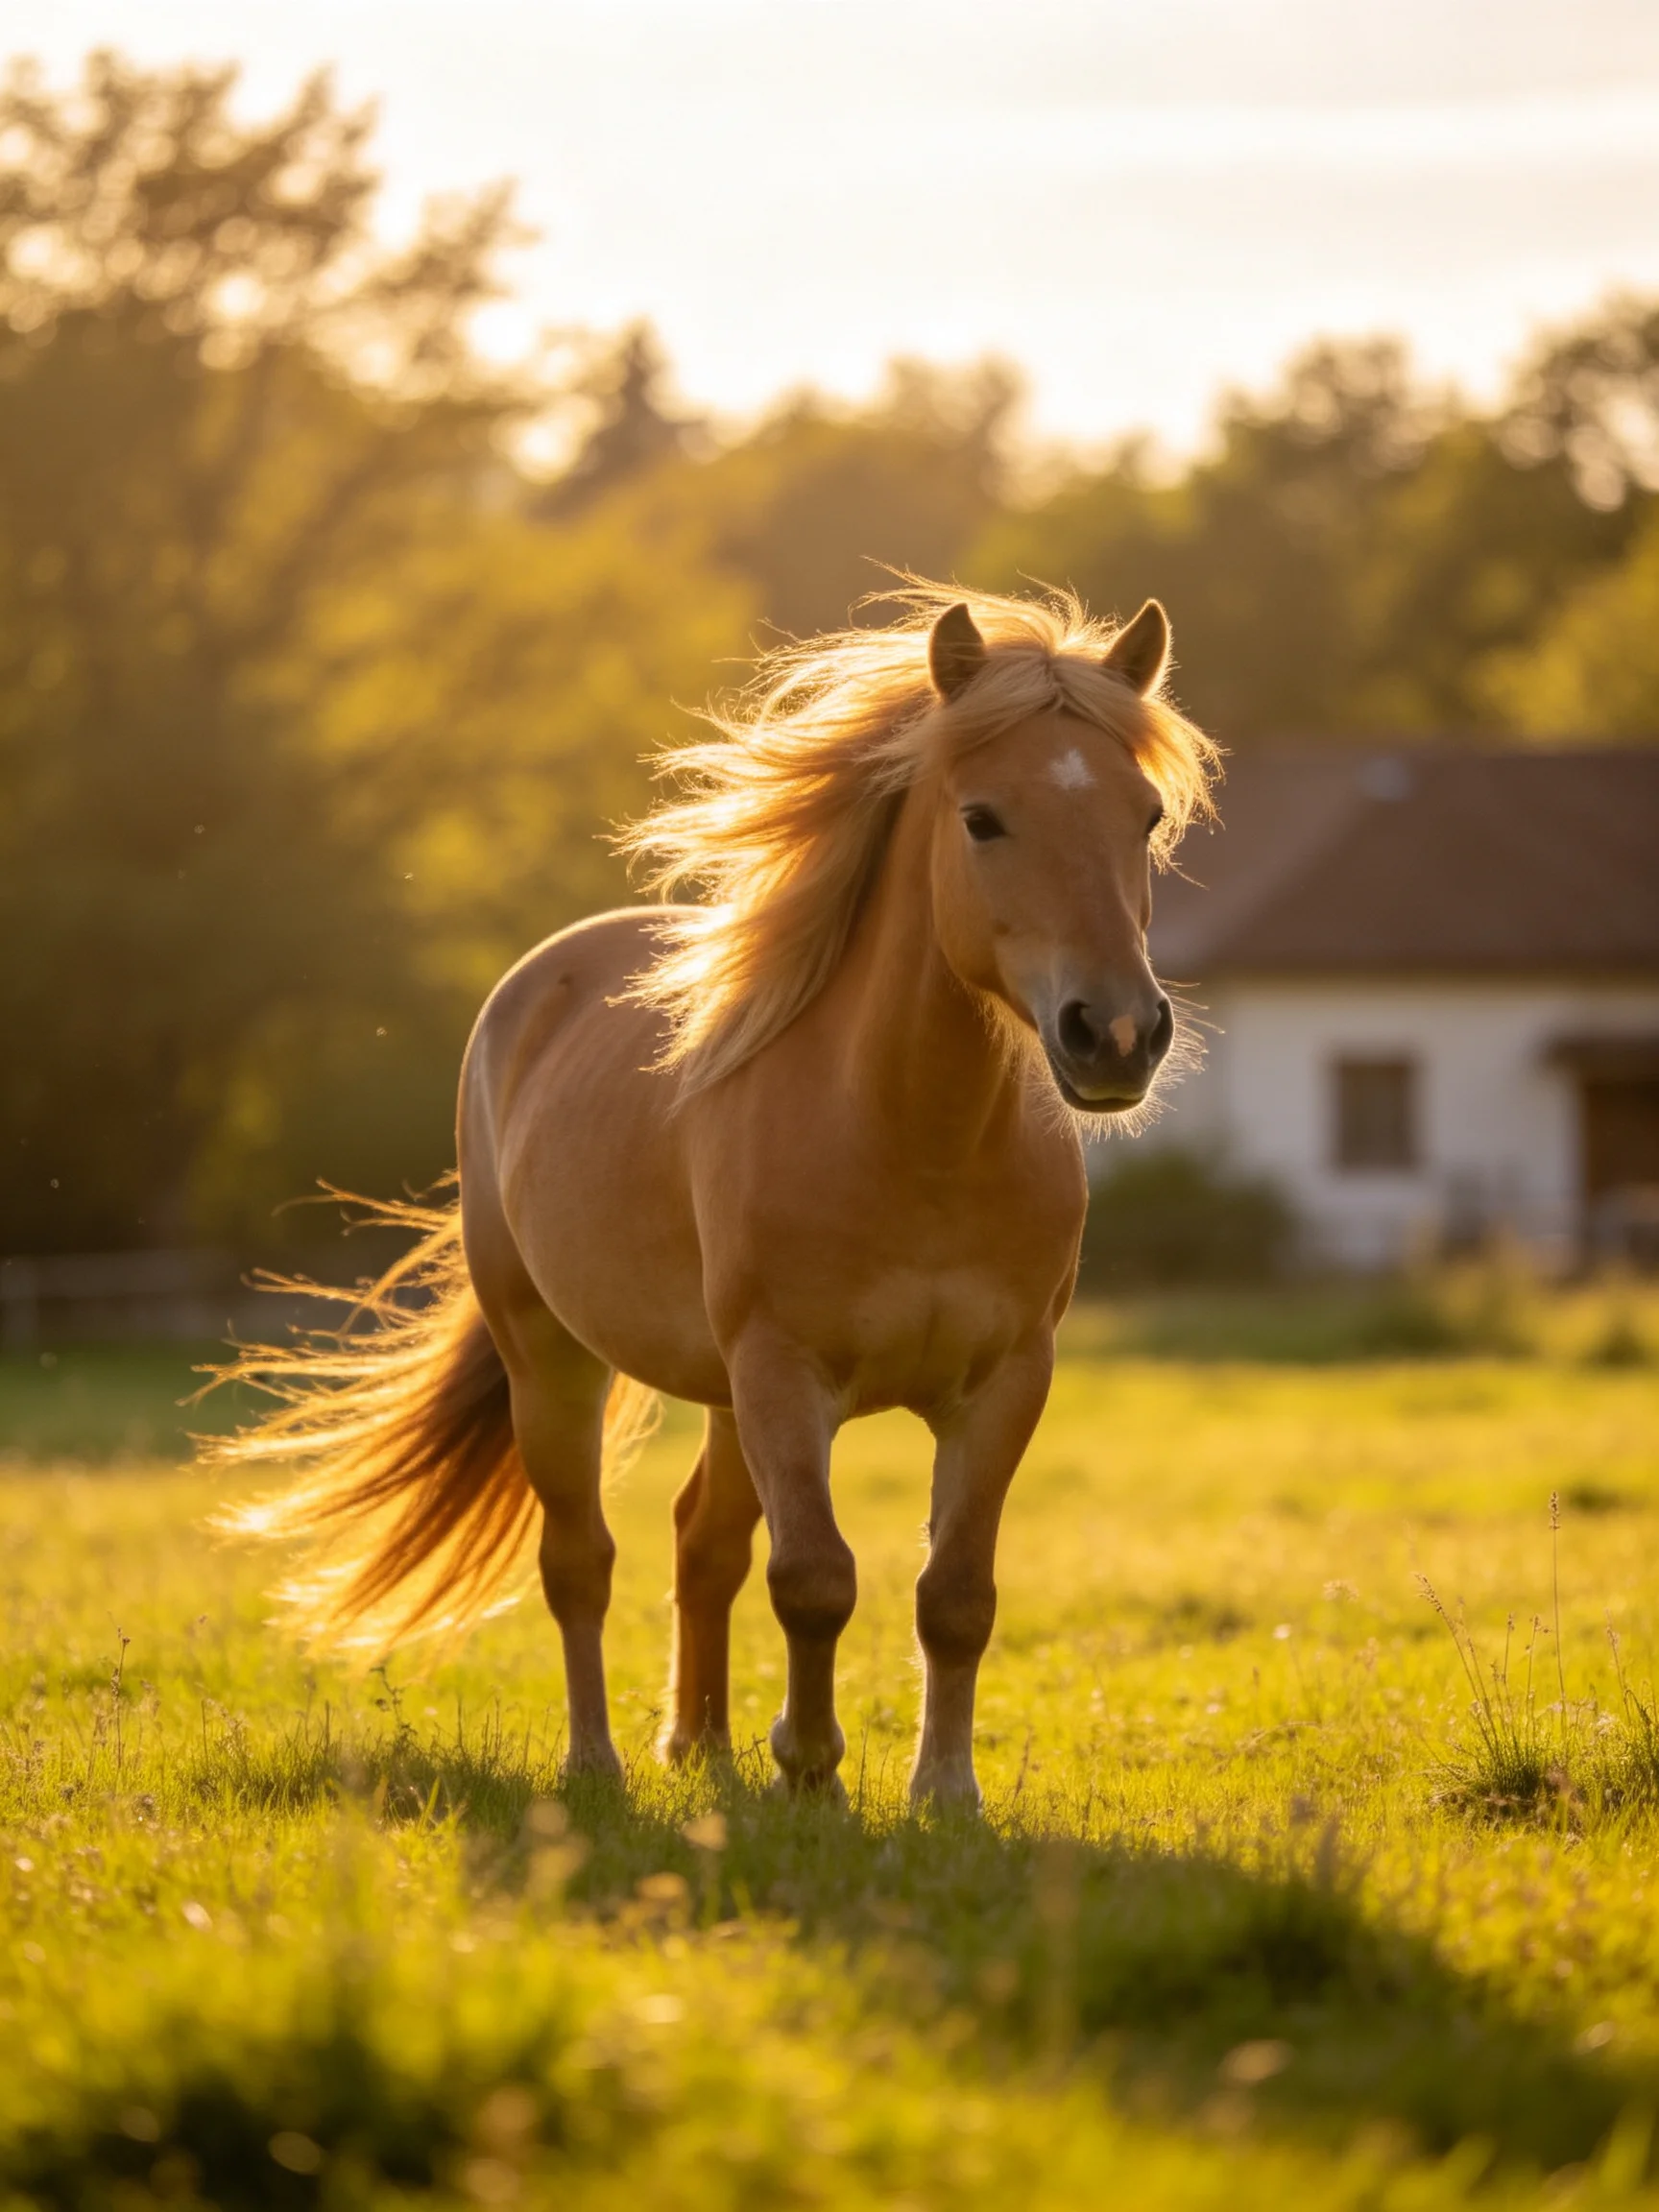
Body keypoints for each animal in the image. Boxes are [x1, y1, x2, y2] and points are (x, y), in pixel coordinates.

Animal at [215, 584, 1217, 1808]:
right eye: (983, 818)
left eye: (1147, 818)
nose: (1115, 1033)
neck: (910, 1136)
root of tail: (531, 990)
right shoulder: (784, 1374)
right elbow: (817, 1580)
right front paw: (813, 1771)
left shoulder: (1005, 1382)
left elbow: (953, 1596)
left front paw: (942, 1792)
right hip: (555, 1357)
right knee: (582, 1561)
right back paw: (598, 1763)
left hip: (725, 1398)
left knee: (703, 1543)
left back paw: (700, 1747)